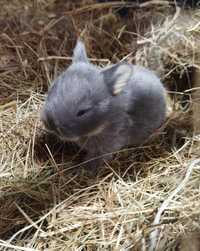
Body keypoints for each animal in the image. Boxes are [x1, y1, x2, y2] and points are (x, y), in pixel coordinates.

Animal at [40, 40, 166, 172]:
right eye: (51, 88)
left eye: (82, 111)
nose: (50, 123)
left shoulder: (106, 147)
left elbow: (95, 160)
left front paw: (82, 170)